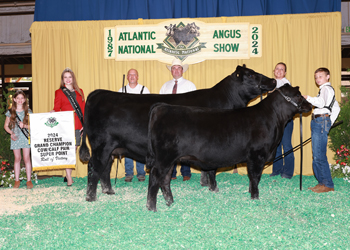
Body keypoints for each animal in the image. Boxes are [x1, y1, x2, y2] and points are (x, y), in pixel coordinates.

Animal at [79, 64, 276, 201]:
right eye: (250, 74)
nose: (273, 80)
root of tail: (98, 93)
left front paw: (207, 184)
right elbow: (212, 168)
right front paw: (212, 187)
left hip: (112, 149)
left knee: (105, 168)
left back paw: (108, 191)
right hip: (102, 145)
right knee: (94, 167)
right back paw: (91, 197)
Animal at [146, 84, 314, 211]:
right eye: (298, 96)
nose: (310, 105)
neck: (272, 119)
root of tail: (162, 107)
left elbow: (253, 177)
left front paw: (251, 192)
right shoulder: (257, 155)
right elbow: (255, 176)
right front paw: (255, 197)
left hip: (170, 160)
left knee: (165, 179)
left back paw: (170, 202)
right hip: (164, 158)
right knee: (155, 177)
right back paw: (151, 207)